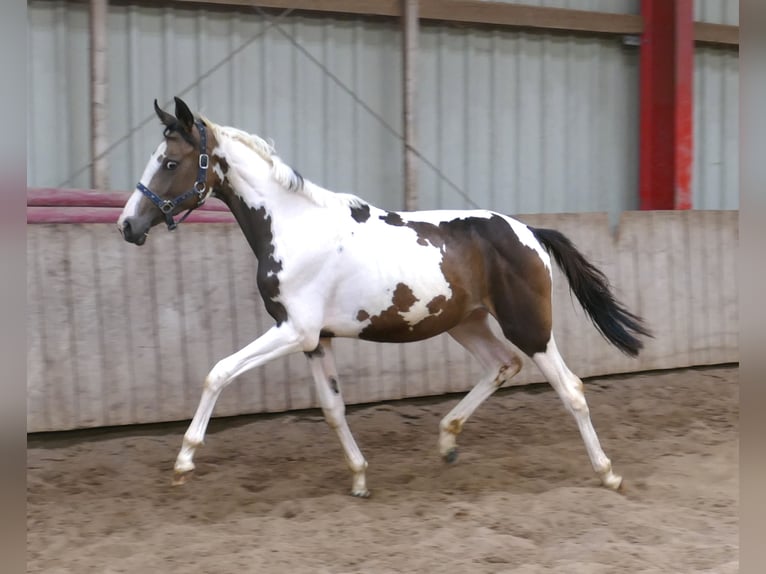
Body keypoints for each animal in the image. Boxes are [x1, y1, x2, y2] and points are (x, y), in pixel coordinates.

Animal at [117, 97, 651, 497]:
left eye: (170, 162)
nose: (127, 225)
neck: (292, 226)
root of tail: (530, 233)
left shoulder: (294, 331)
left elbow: (218, 373)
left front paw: (184, 461)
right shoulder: (317, 341)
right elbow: (333, 410)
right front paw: (359, 479)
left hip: (530, 326)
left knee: (571, 389)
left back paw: (608, 473)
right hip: (467, 322)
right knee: (503, 365)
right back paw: (447, 442)